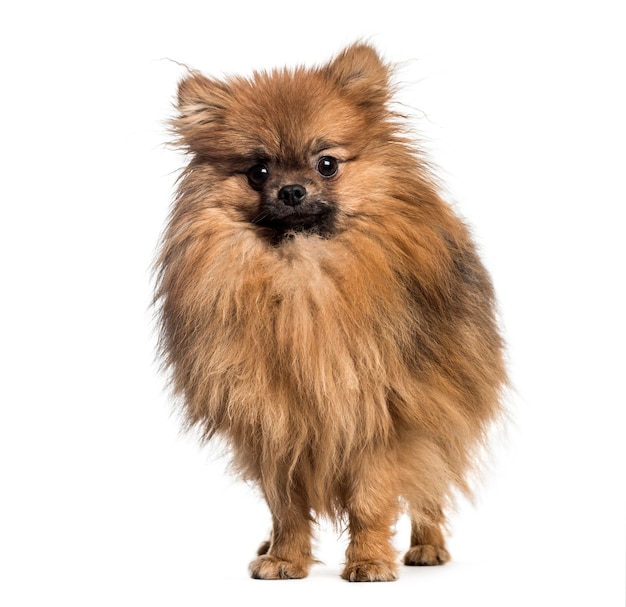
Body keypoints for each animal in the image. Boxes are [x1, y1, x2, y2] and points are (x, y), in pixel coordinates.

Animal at [154, 44, 504, 584]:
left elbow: (370, 500)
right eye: (258, 171)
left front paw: (370, 561)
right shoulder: (276, 420)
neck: (301, 271)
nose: (292, 191)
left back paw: (427, 547)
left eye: (326, 164)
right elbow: (286, 507)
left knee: (430, 490)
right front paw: (284, 558)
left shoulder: (380, 417)